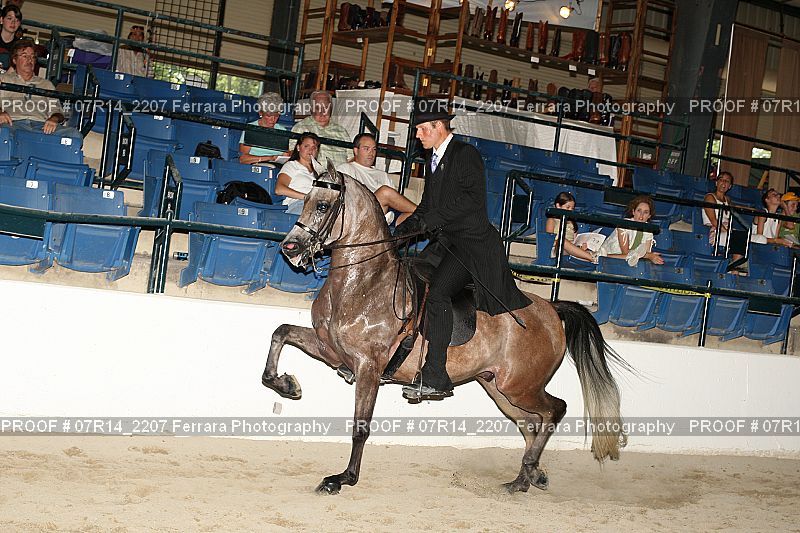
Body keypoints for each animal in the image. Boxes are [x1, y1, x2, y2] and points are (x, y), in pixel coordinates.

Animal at [261, 161, 629, 495]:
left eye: (322, 205)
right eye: (304, 199)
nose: (289, 248)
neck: (362, 283)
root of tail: (551, 309)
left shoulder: (368, 366)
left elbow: (360, 426)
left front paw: (342, 479)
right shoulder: (330, 349)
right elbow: (280, 332)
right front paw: (286, 385)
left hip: (520, 386)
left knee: (554, 411)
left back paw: (529, 470)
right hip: (500, 387)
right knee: (531, 424)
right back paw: (525, 478)